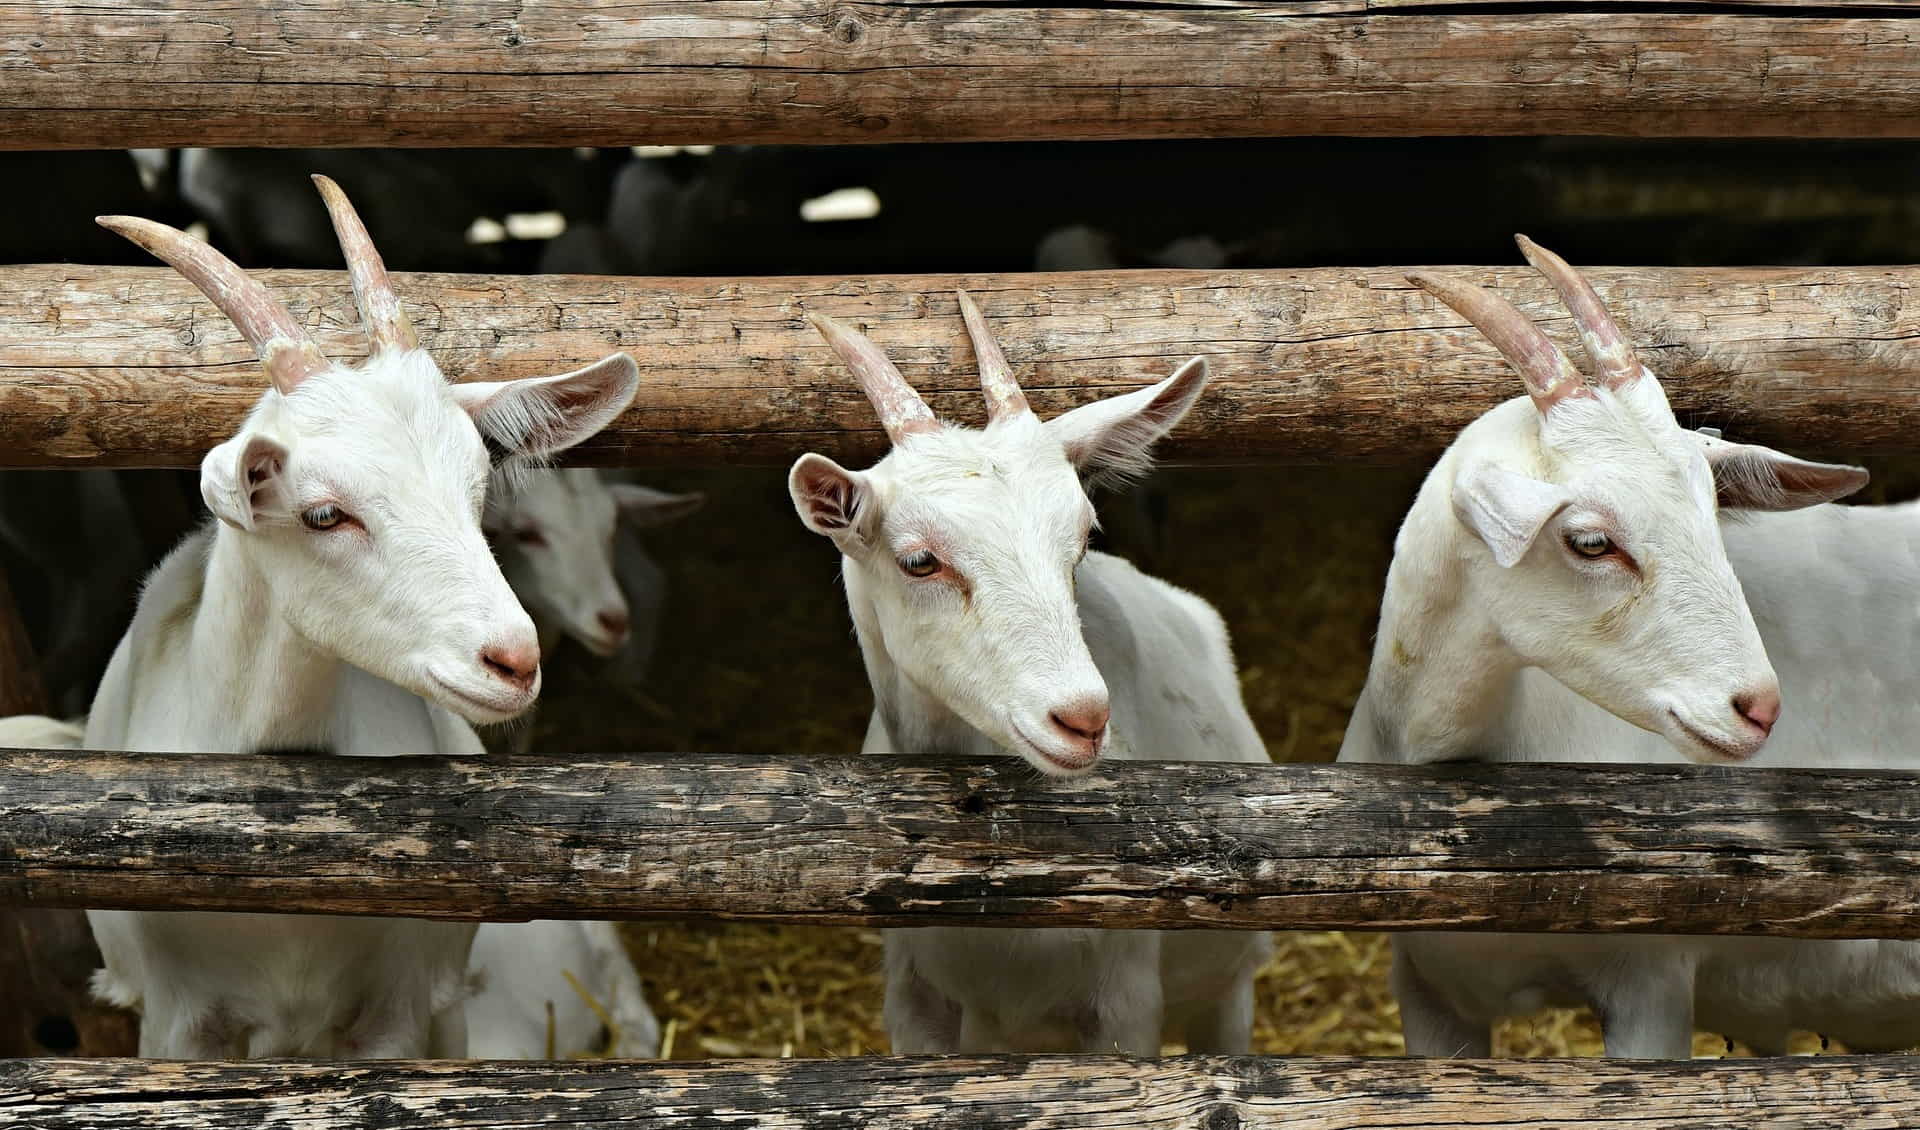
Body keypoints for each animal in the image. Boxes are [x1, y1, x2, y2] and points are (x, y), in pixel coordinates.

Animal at [787, 295, 1267, 1051]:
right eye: (919, 560)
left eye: (1085, 535)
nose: (1083, 718)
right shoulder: (914, 998)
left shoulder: (1126, 1002)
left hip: (1229, 986)